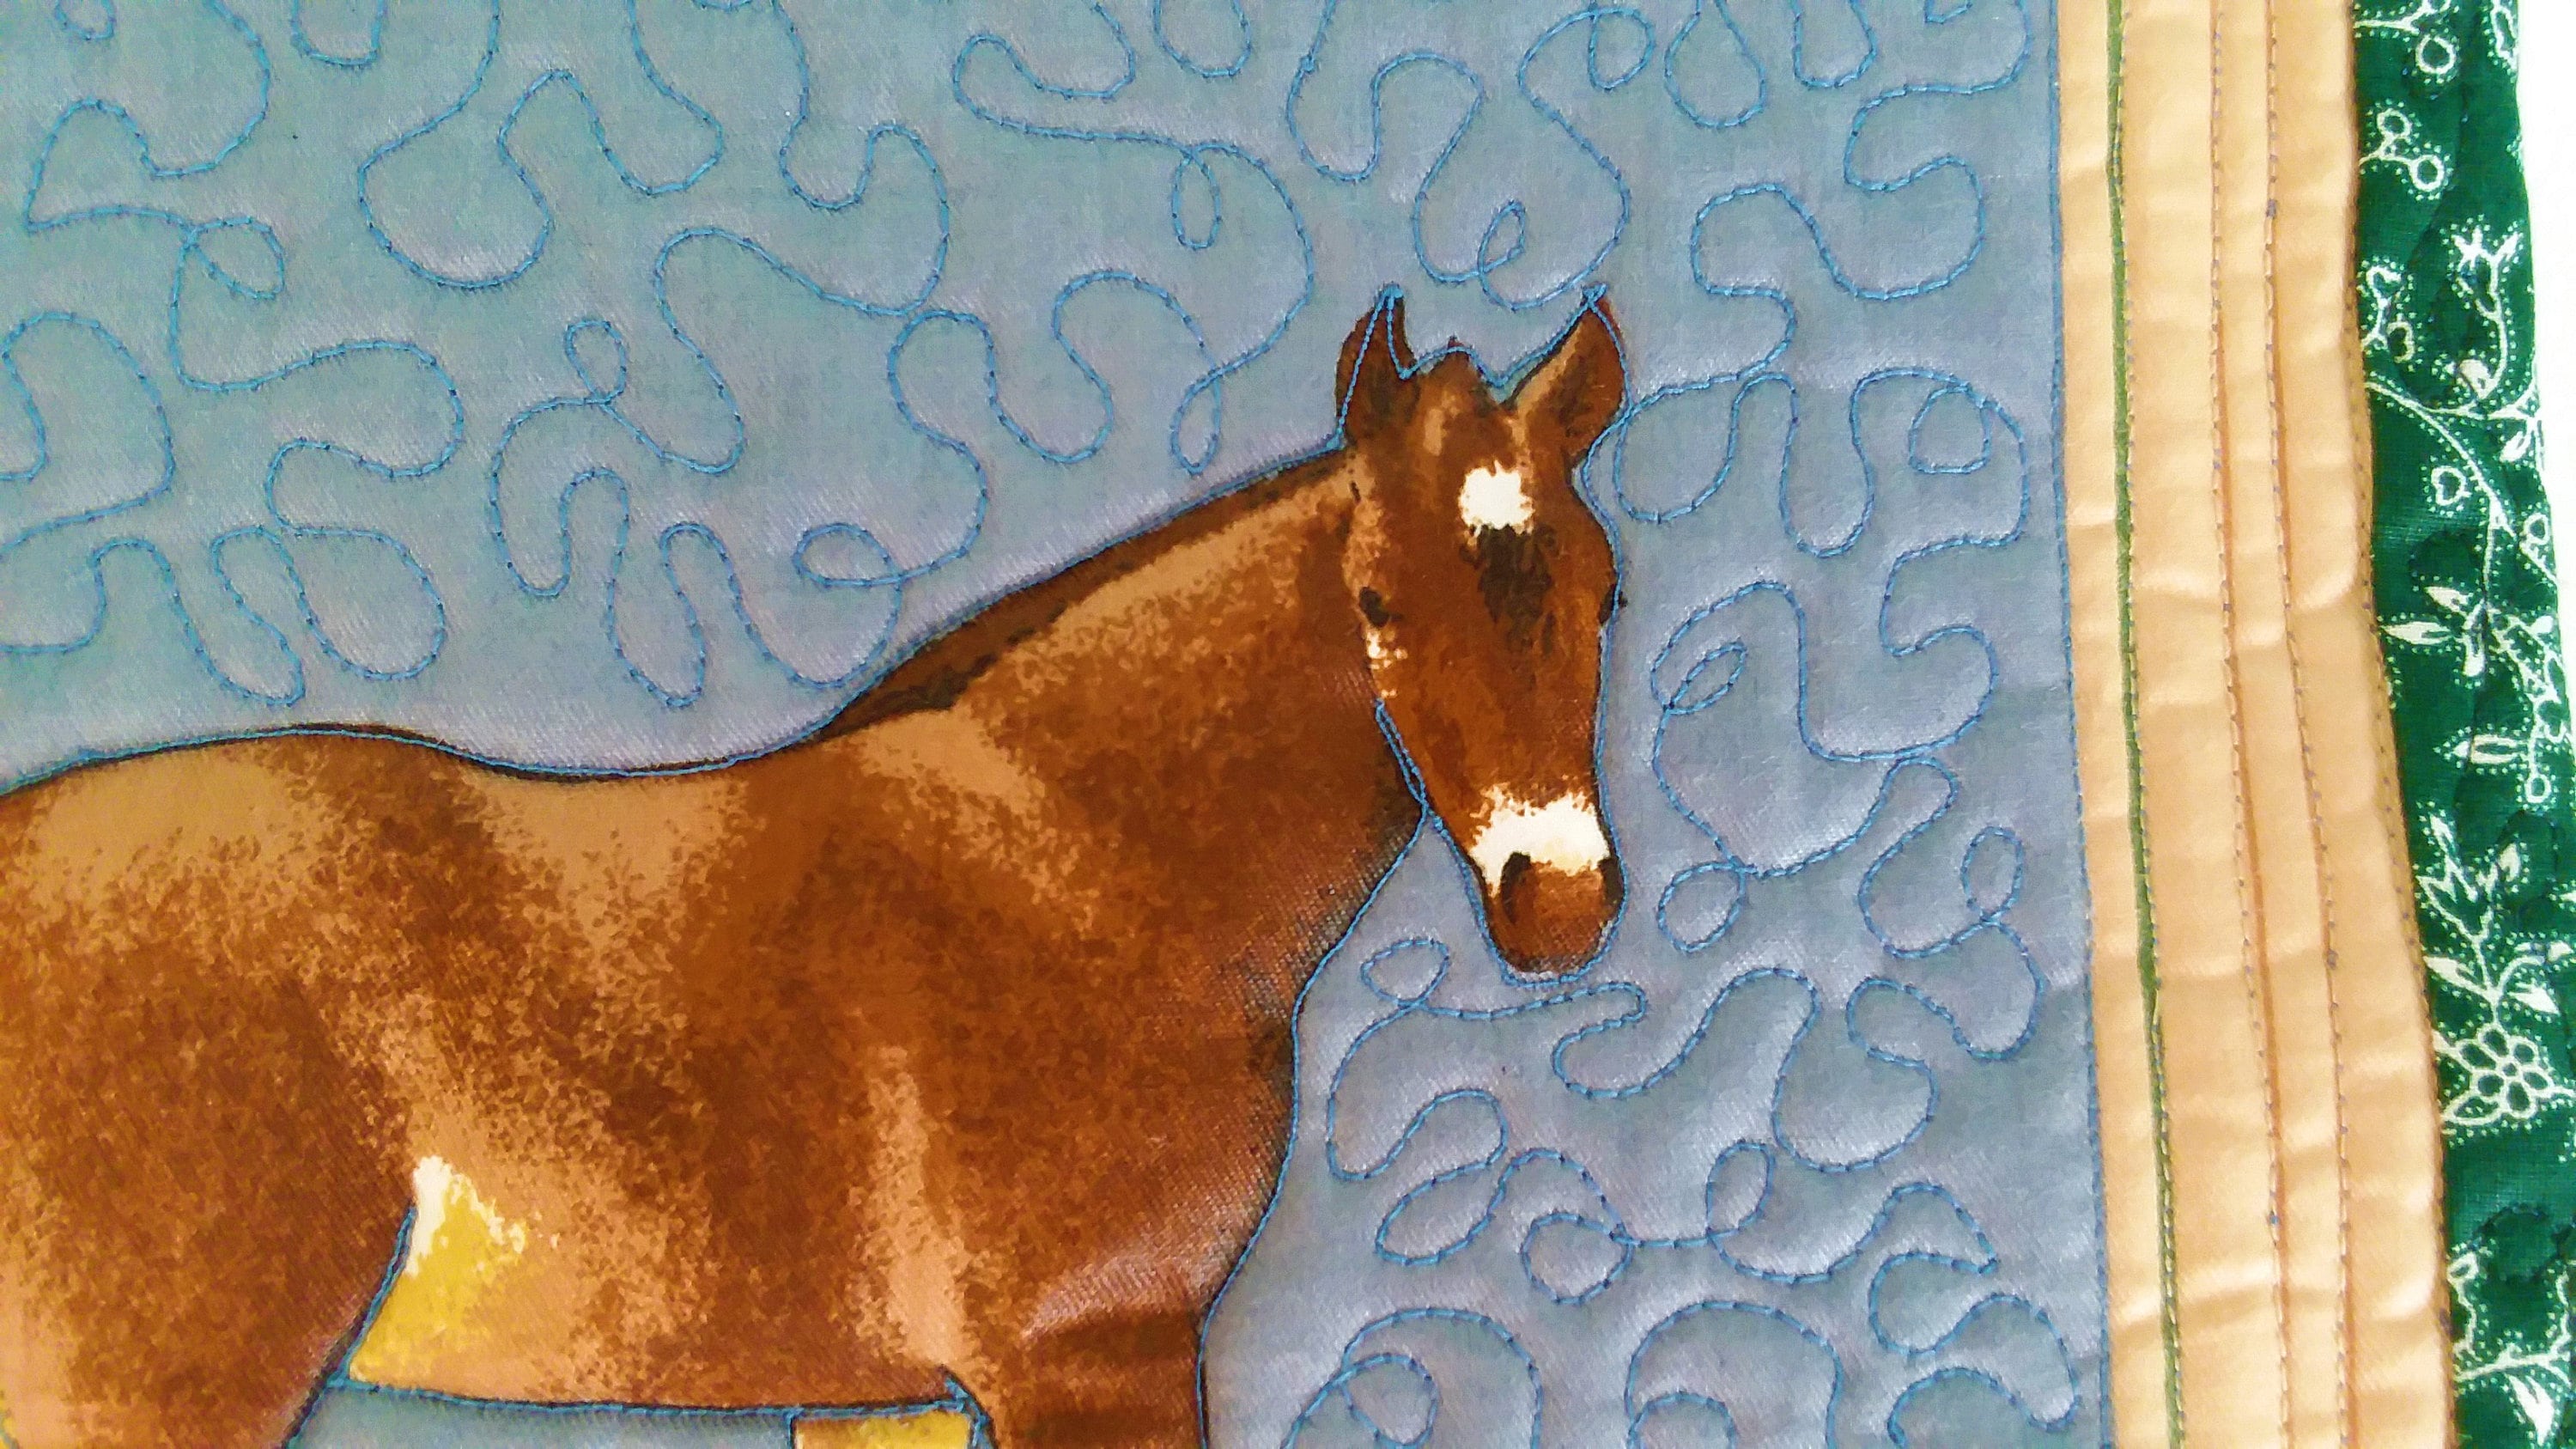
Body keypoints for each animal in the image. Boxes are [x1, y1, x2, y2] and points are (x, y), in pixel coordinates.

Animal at [0, 292, 1629, 1449]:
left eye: (1609, 591)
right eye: (1378, 599)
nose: (1560, 902)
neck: (1081, 861)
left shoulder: (887, 1390)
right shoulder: (1089, 1358)